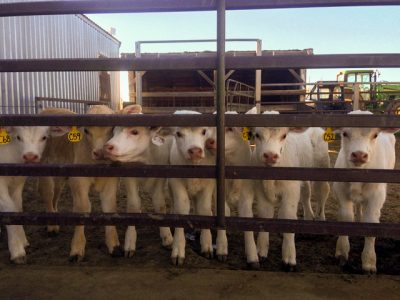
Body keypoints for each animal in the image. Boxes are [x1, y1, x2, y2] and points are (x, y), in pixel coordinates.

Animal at [104, 104, 173, 256]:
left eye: (135, 132)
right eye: (114, 132)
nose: (108, 146)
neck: (144, 161)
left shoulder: (160, 176)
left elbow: (160, 204)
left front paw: (167, 236)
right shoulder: (129, 177)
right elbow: (134, 204)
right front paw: (130, 240)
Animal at [334, 110, 396, 274]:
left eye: (375, 135)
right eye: (344, 133)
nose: (359, 154)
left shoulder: (376, 196)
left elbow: (371, 222)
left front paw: (369, 261)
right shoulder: (341, 191)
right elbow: (346, 218)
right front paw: (342, 252)